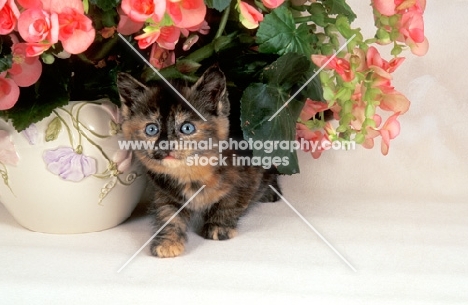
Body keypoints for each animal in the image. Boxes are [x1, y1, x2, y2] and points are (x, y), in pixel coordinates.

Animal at [117, 66, 280, 256]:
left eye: (187, 128)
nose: (165, 144)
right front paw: (168, 241)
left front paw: (219, 226)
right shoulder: (164, 191)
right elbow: (168, 214)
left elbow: (231, 201)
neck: (191, 172)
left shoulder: (248, 177)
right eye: (151, 129)